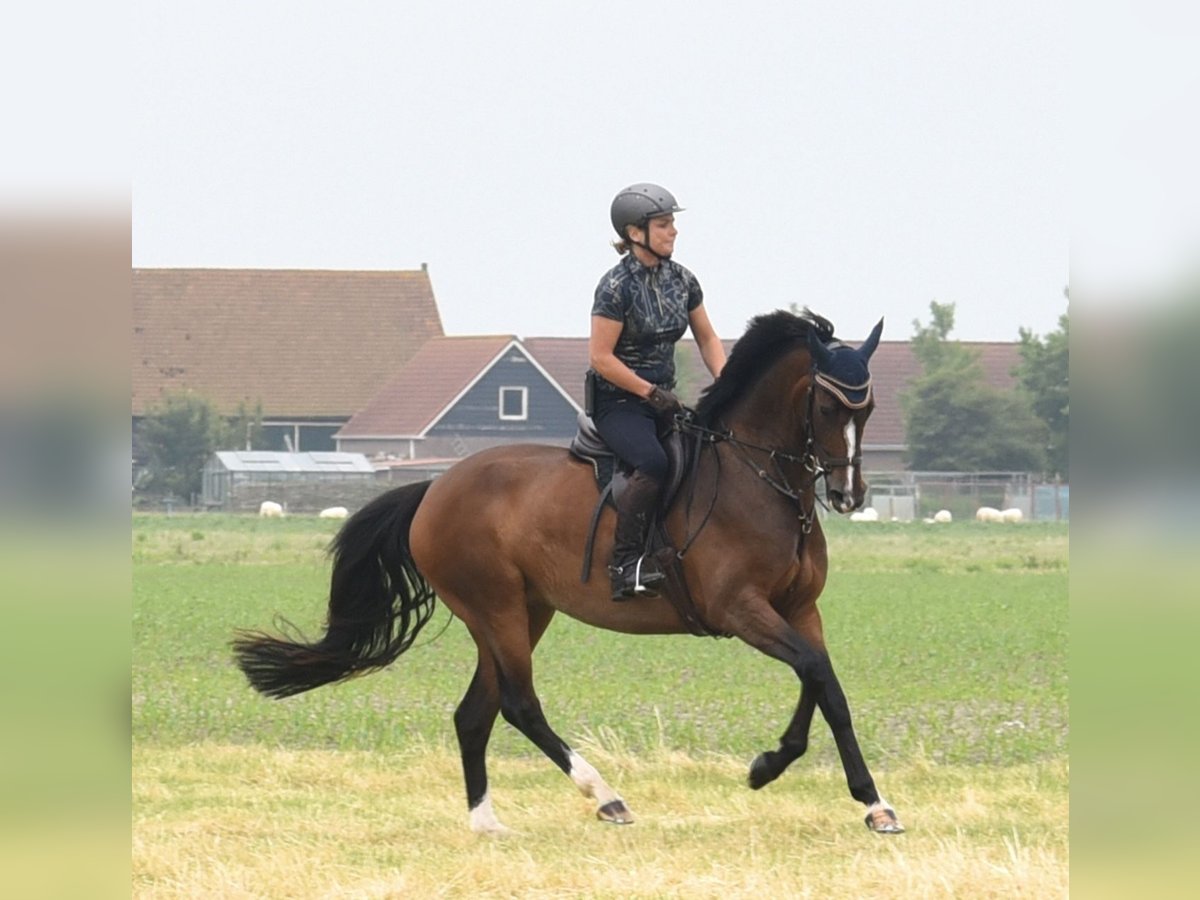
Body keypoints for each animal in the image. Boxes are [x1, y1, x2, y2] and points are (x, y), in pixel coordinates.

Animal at [233, 309, 904, 835]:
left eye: (868, 407)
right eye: (826, 404)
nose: (848, 495)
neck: (759, 479)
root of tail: (434, 488)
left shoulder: (798, 610)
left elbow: (825, 684)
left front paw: (865, 800)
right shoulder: (741, 609)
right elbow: (815, 673)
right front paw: (780, 768)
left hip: (522, 612)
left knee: (474, 713)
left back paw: (487, 822)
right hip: (497, 608)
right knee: (518, 705)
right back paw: (605, 796)